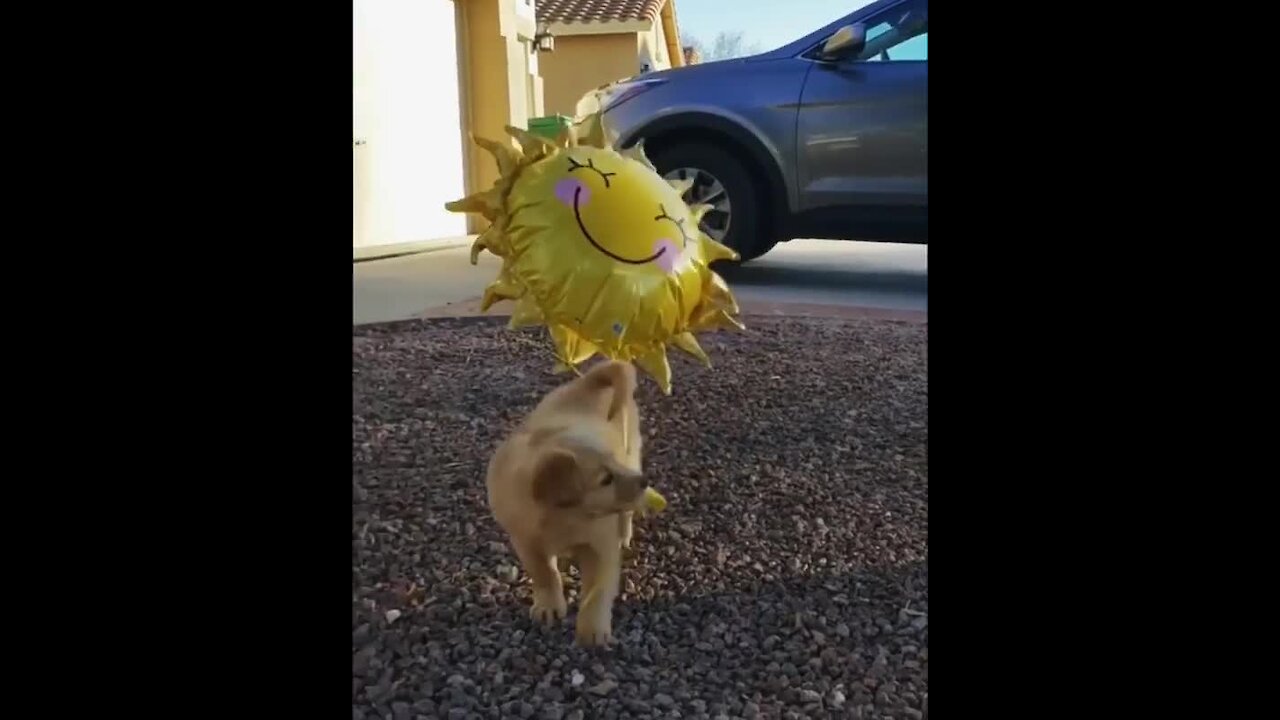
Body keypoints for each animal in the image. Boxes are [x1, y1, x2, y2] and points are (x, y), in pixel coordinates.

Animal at [488, 358, 650, 645]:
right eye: (605, 479)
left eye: (612, 465)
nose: (644, 481)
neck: (564, 518)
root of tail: (589, 382)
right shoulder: (525, 541)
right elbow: (544, 573)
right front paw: (549, 606)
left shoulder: (601, 544)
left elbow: (597, 588)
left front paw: (592, 628)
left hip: (632, 454)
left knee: (627, 513)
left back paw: (625, 532)